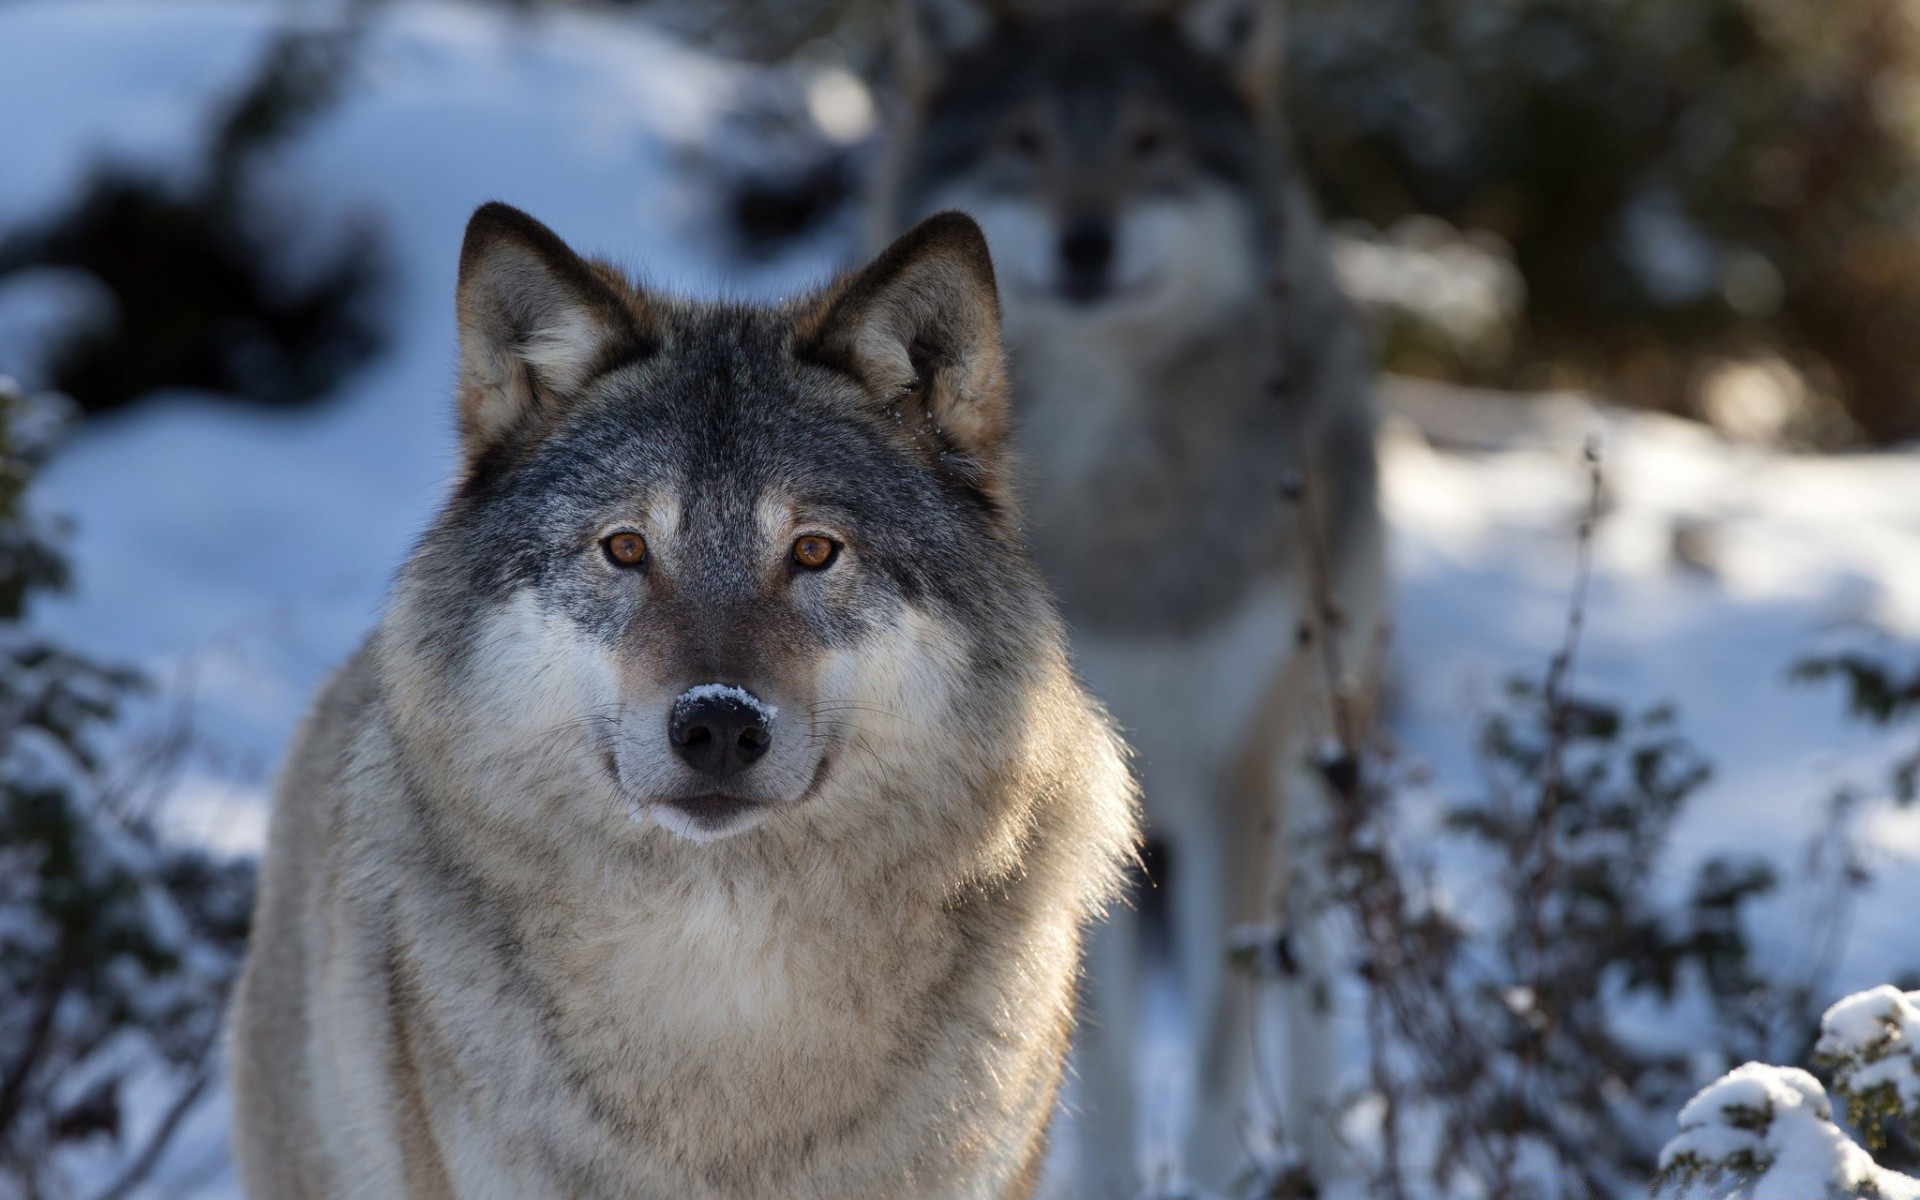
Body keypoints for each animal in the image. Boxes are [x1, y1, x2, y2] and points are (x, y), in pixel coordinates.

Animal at [879, 2, 1390, 1190]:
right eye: (1023, 142)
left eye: (1151, 143)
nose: (1086, 241)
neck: (1123, 498)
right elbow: (1097, 1060)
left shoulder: (1238, 776)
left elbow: (1215, 1050)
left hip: (1310, 768)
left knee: (1309, 984)